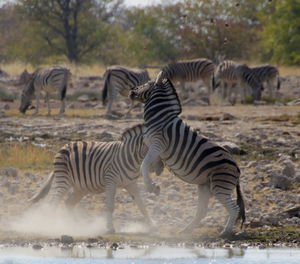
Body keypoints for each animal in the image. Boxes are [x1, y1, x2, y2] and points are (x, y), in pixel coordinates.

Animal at [28, 124, 164, 233]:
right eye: (154, 147)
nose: (161, 169)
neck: (131, 157)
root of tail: (65, 145)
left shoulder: (131, 183)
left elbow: (142, 205)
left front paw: (153, 226)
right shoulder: (111, 181)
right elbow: (110, 206)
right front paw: (110, 228)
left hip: (80, 187)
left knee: (68, 203)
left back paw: (75, 225)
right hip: (64, 179)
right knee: (54, 202)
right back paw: (51, 225)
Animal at [130, 79, 245, 238]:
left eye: (145, 84)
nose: (131, 90)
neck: (159, 119)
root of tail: (237, 168)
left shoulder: (158, 144)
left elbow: (143, 164)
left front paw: (150, 186)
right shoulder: (156, 148)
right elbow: (149, 164)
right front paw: (155, 176)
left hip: (220, 185)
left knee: (234, 208)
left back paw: (225, 232)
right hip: (205, 185)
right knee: (202, 212)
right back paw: (186, 231)